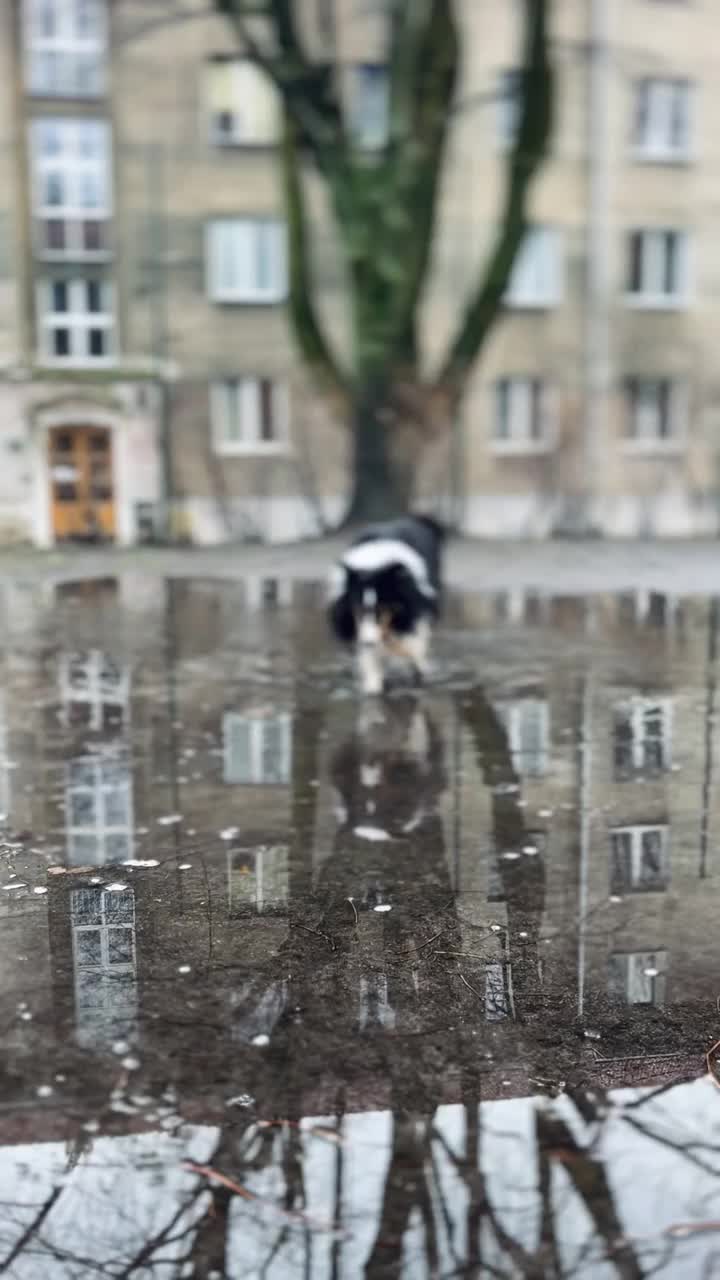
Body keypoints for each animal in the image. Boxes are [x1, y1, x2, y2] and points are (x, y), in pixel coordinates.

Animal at [326, 514, 443, 696]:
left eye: (382, 608)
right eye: (357, 607)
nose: (368, 643)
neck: (373, 565)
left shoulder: (414, 611)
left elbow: (414, 646)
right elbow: (371, 664)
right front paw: (373, 687)